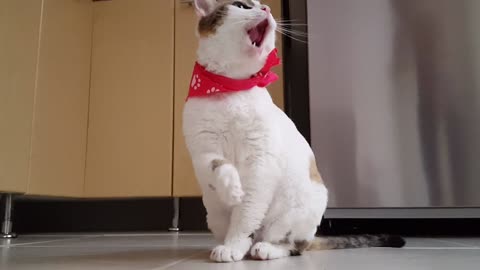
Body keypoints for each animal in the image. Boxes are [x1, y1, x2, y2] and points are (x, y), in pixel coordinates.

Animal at [182, 0, 404, 262]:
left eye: (260, 4)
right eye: (242, 5)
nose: (267, 8)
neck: (232, 87)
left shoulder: (261, 163)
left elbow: (245, 215)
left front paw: (233, 245)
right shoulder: (202, 151)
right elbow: (219, 165)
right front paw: (232, 190)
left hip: (294, 214)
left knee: (293, 245)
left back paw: (264, 248)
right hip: (214, 217)